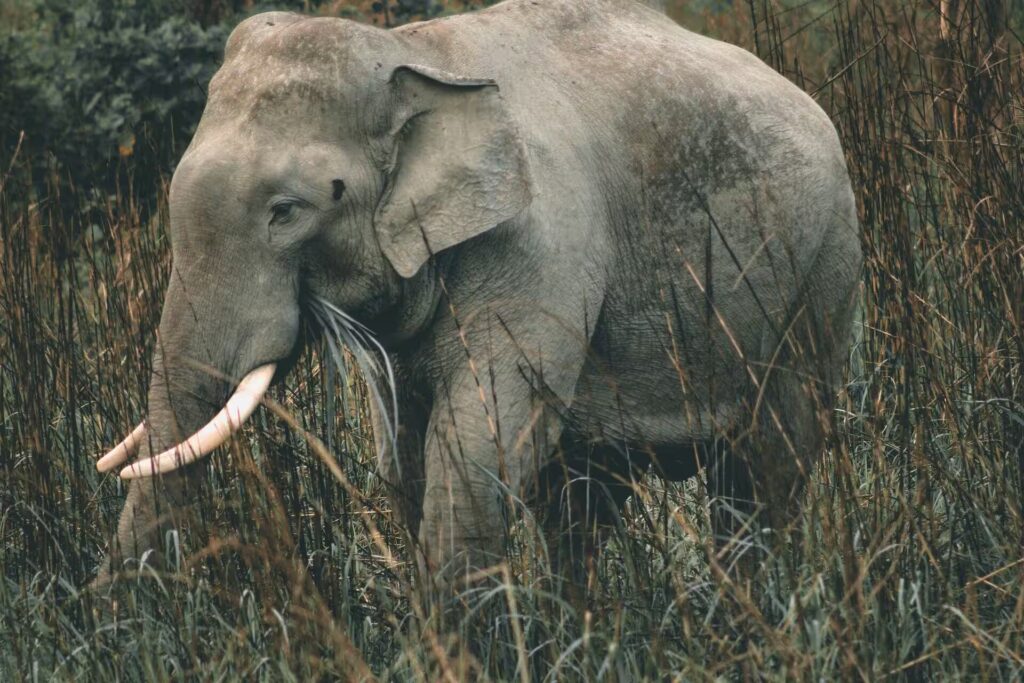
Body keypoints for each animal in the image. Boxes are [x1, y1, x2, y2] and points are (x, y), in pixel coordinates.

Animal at [95, 0, 861, 589]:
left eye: (287, 211)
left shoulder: (541, 246)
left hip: (820, 271)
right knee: (582, 499)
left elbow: (473, 447)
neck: (416, 54)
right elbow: (405, 458)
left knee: (766, 468)